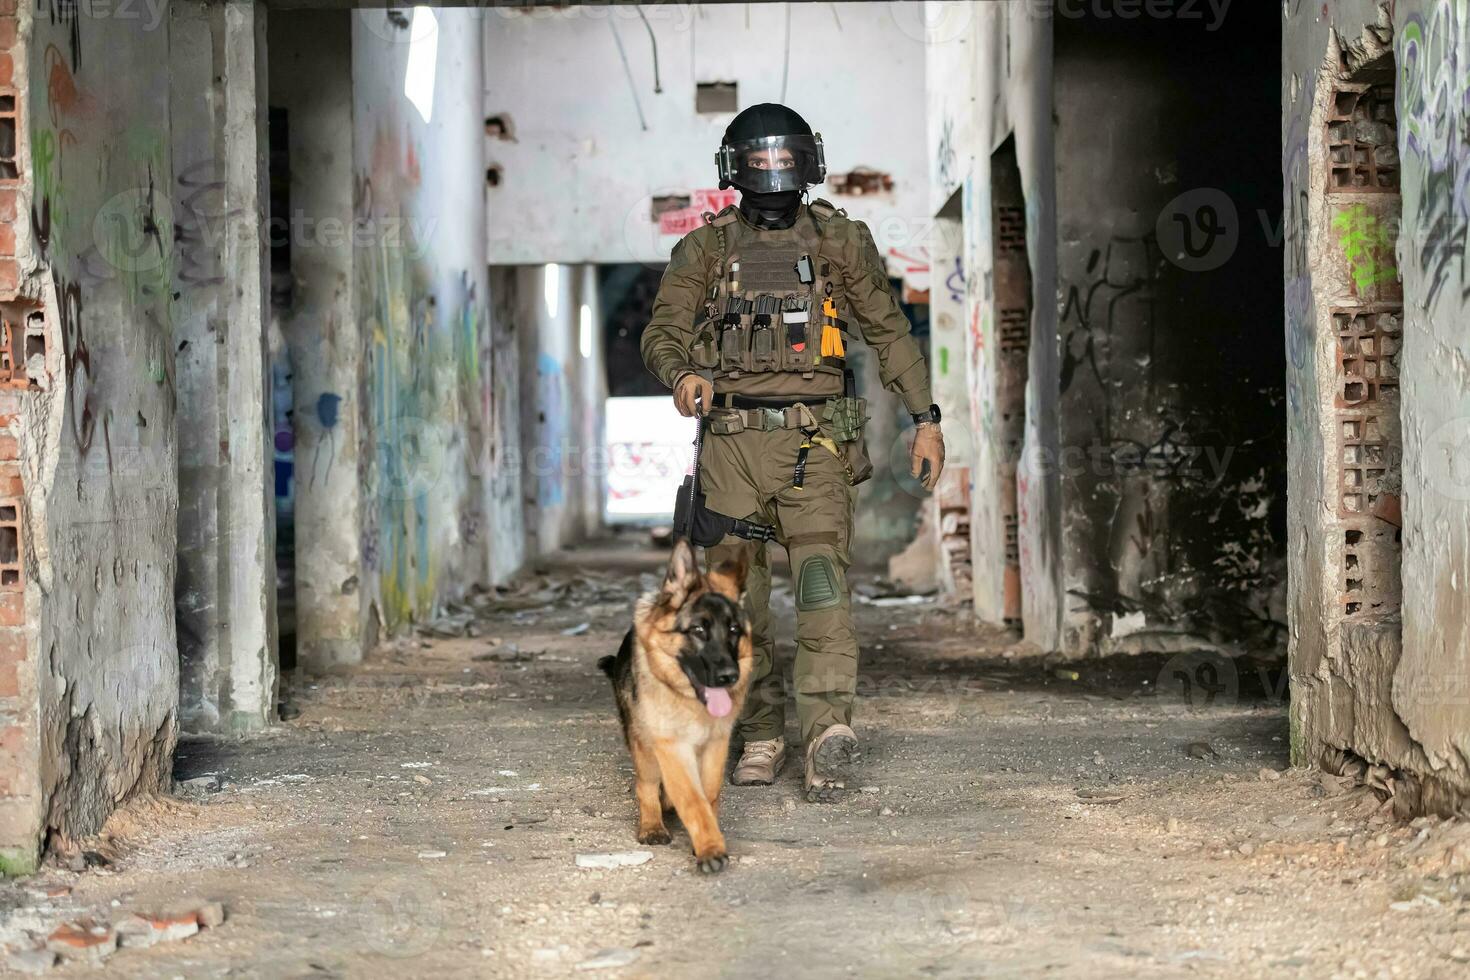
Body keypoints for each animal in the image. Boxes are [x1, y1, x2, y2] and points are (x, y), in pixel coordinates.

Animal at [596, 543, 752, 875]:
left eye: (734, 629)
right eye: (698, 630)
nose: (729, 676)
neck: (690, 700)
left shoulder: (716, 743)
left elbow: (709, 794)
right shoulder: (671, 747)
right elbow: (692, 799)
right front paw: (710, 849)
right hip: (644, 748)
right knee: (645, 785)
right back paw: (652, 825)